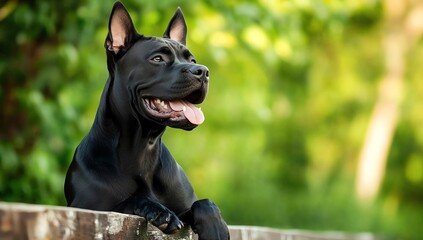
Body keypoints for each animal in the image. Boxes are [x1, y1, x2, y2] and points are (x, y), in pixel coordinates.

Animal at [64, 1, 229, 238]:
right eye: (157, 59)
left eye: (192, 60)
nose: (203, 71)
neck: (144, 146)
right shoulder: (88, 207)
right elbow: (127, 201)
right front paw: (158, 210)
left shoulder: (188, 204)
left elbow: (205, 203)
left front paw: (217, 228)